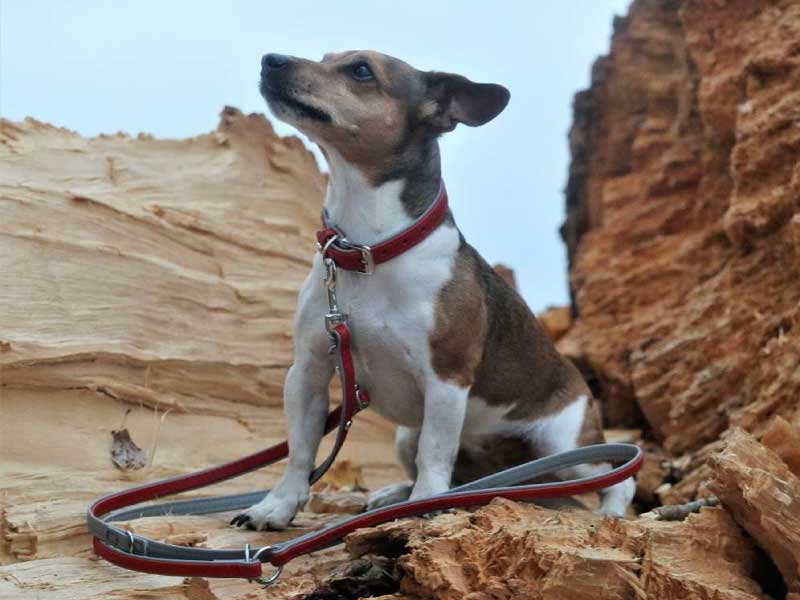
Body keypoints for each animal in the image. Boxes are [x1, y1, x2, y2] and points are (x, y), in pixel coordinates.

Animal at [233, 51, 636, 528]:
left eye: (361, 70)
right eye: (327, 58)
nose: (270, 59)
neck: (367, 251)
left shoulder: (446, 379)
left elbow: (435, 453)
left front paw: (425, 503)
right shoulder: (308, 372)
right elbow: (300, 449)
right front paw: (277, 505)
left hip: (566, 447)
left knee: (618, 476)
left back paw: (611, 511)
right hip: (408, 435)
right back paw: (398, 495)